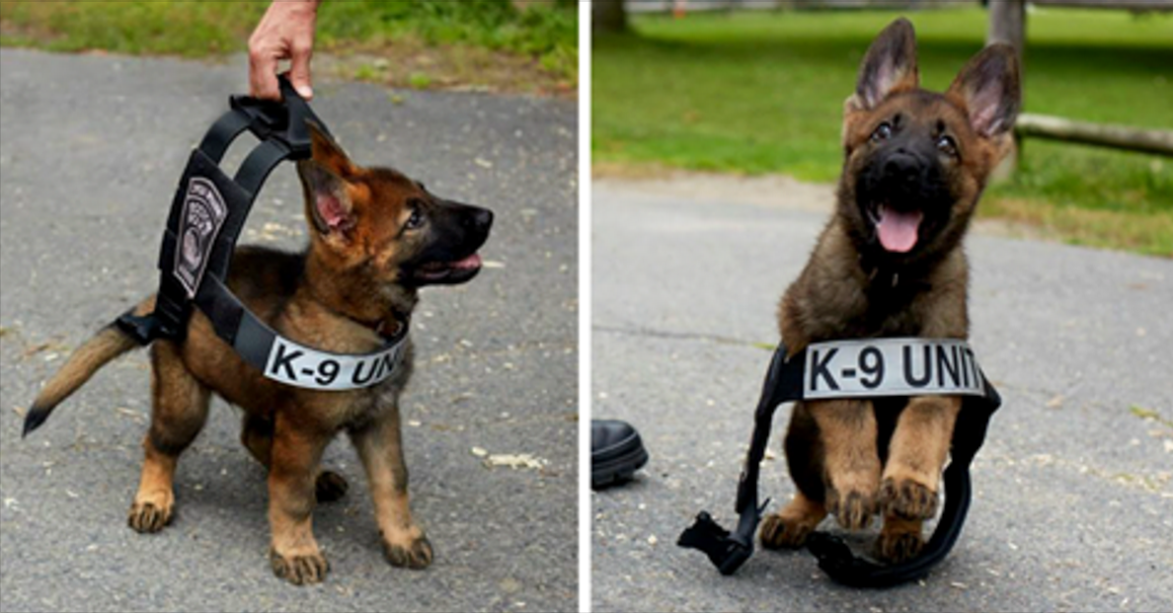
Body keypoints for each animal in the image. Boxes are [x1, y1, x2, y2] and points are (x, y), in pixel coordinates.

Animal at [26, 123, 495, 586]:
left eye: (428, 194)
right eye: (414, 219)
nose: (488, 216)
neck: (352, 316)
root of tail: (164, 300)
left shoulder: (380, 417)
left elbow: (392, 480)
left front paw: (401, 536)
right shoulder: (303, 429)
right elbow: (292, 496)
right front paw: (296, 549)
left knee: (254, 438)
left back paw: (316, 477)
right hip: (185, 403)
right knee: (160, 443)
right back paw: (154, 497)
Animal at [760, 18, 1018, 567]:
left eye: (946, 145)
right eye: (882, 132)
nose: (902, 166)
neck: (890, 280)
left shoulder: (941, 368)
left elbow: (922, 423)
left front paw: (908, 484)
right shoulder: (819, 349)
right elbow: (851, 413)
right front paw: (859, 481)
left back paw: (902, 525)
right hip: (799, 432)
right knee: (816, 492)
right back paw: (799, 514)